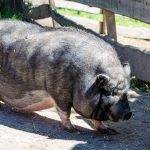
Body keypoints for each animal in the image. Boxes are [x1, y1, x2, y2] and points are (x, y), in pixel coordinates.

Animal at [0, 19, 131, 134]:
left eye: (126, 92)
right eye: (111, 92)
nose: (129, 113)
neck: (81, 75)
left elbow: (97, 119)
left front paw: (111, 132)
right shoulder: (59, 92)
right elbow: (65, 111)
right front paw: (75, 130)